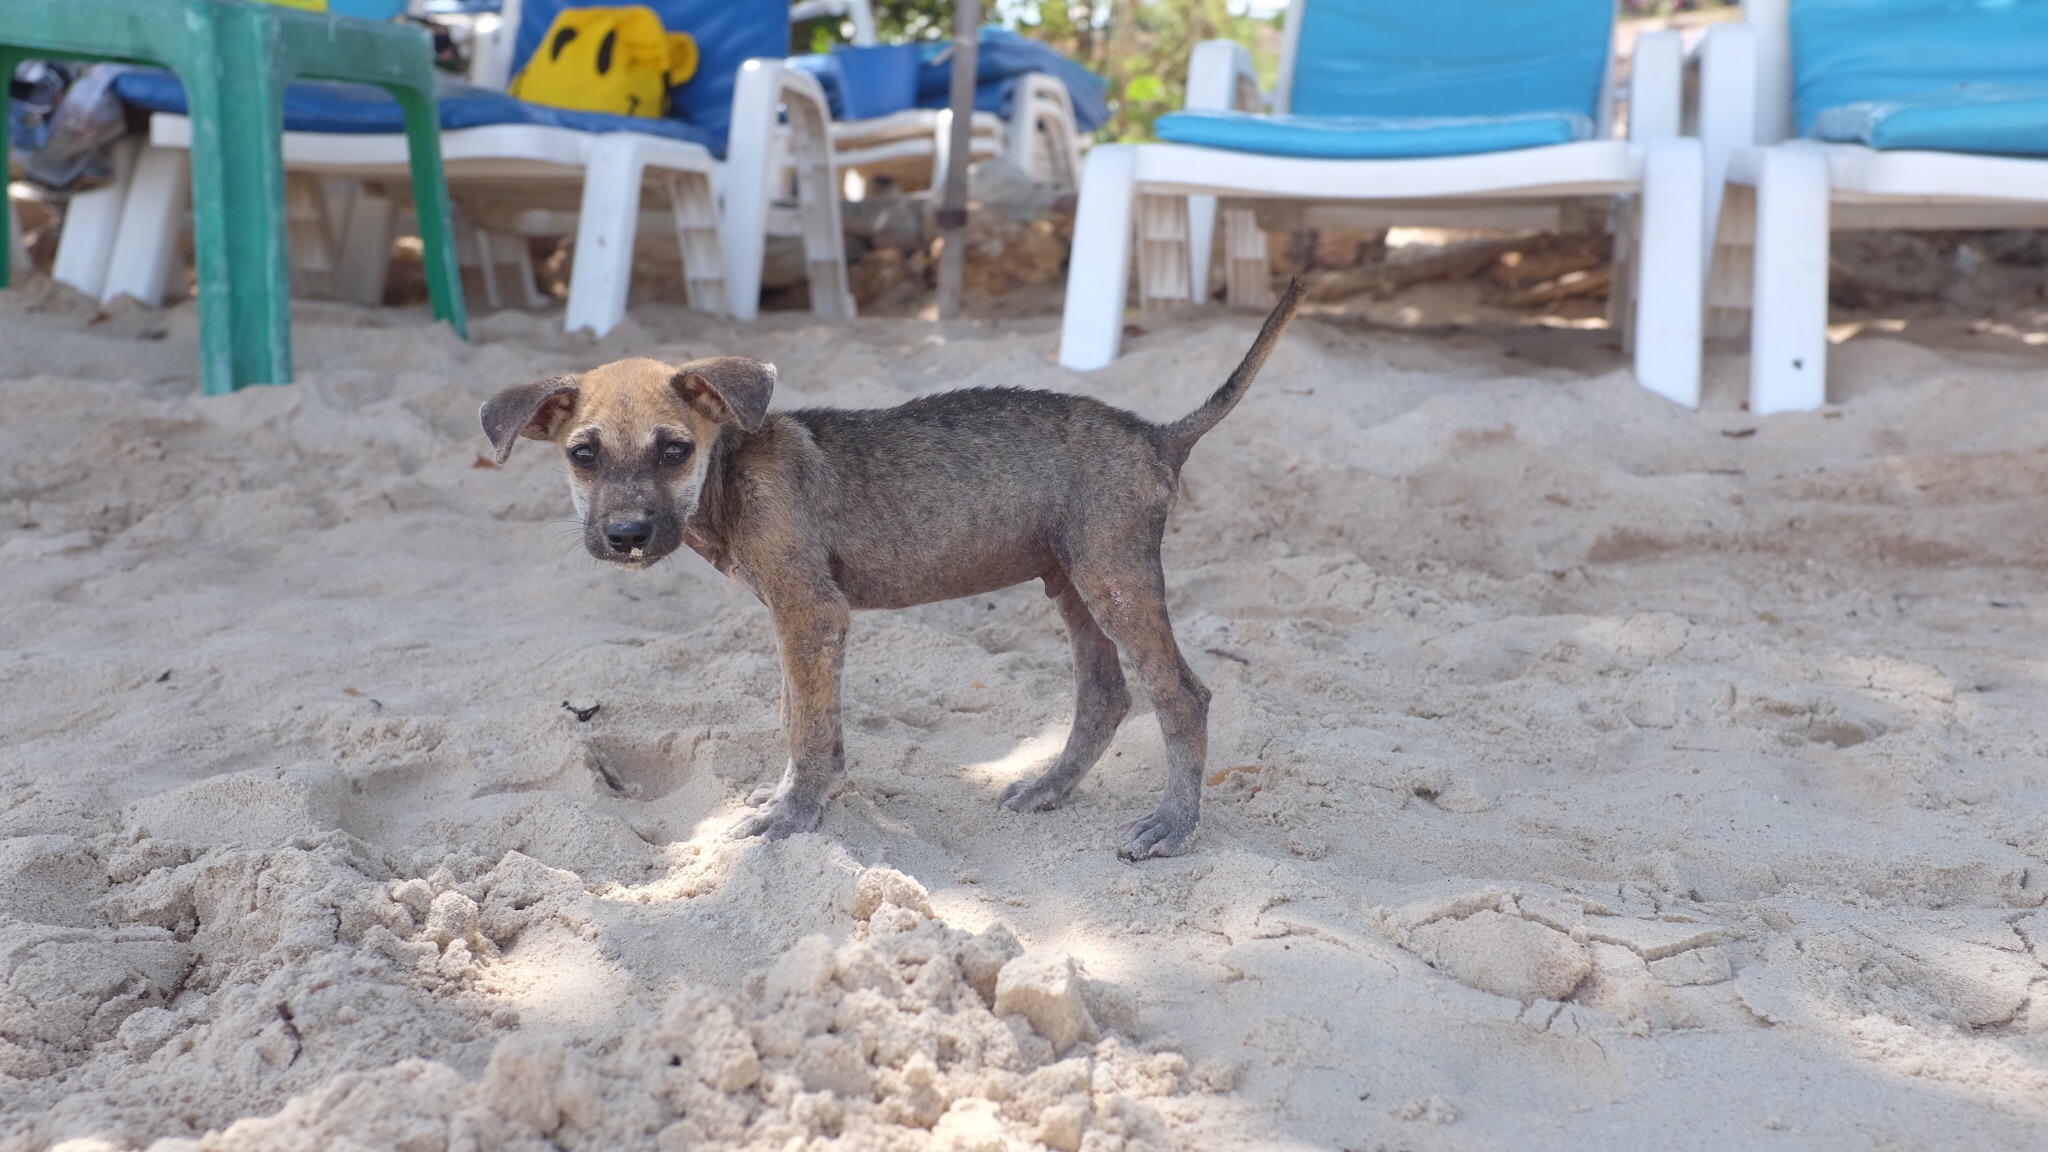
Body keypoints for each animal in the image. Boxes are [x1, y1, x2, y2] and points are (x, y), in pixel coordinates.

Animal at [481, 280, 1303, 858]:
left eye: (675, 449)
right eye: (583, 455)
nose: (626, 536)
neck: (730, 473)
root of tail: (1158, 435)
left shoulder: (811, 613)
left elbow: (809, 728)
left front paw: (795, 817)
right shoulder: (794, 623)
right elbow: (799, 717)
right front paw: (796, 800)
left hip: (1114, 580)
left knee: (1182, 696)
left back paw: (1172, 824)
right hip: (1072, 580)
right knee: (1106, 696)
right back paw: (1048, 788)